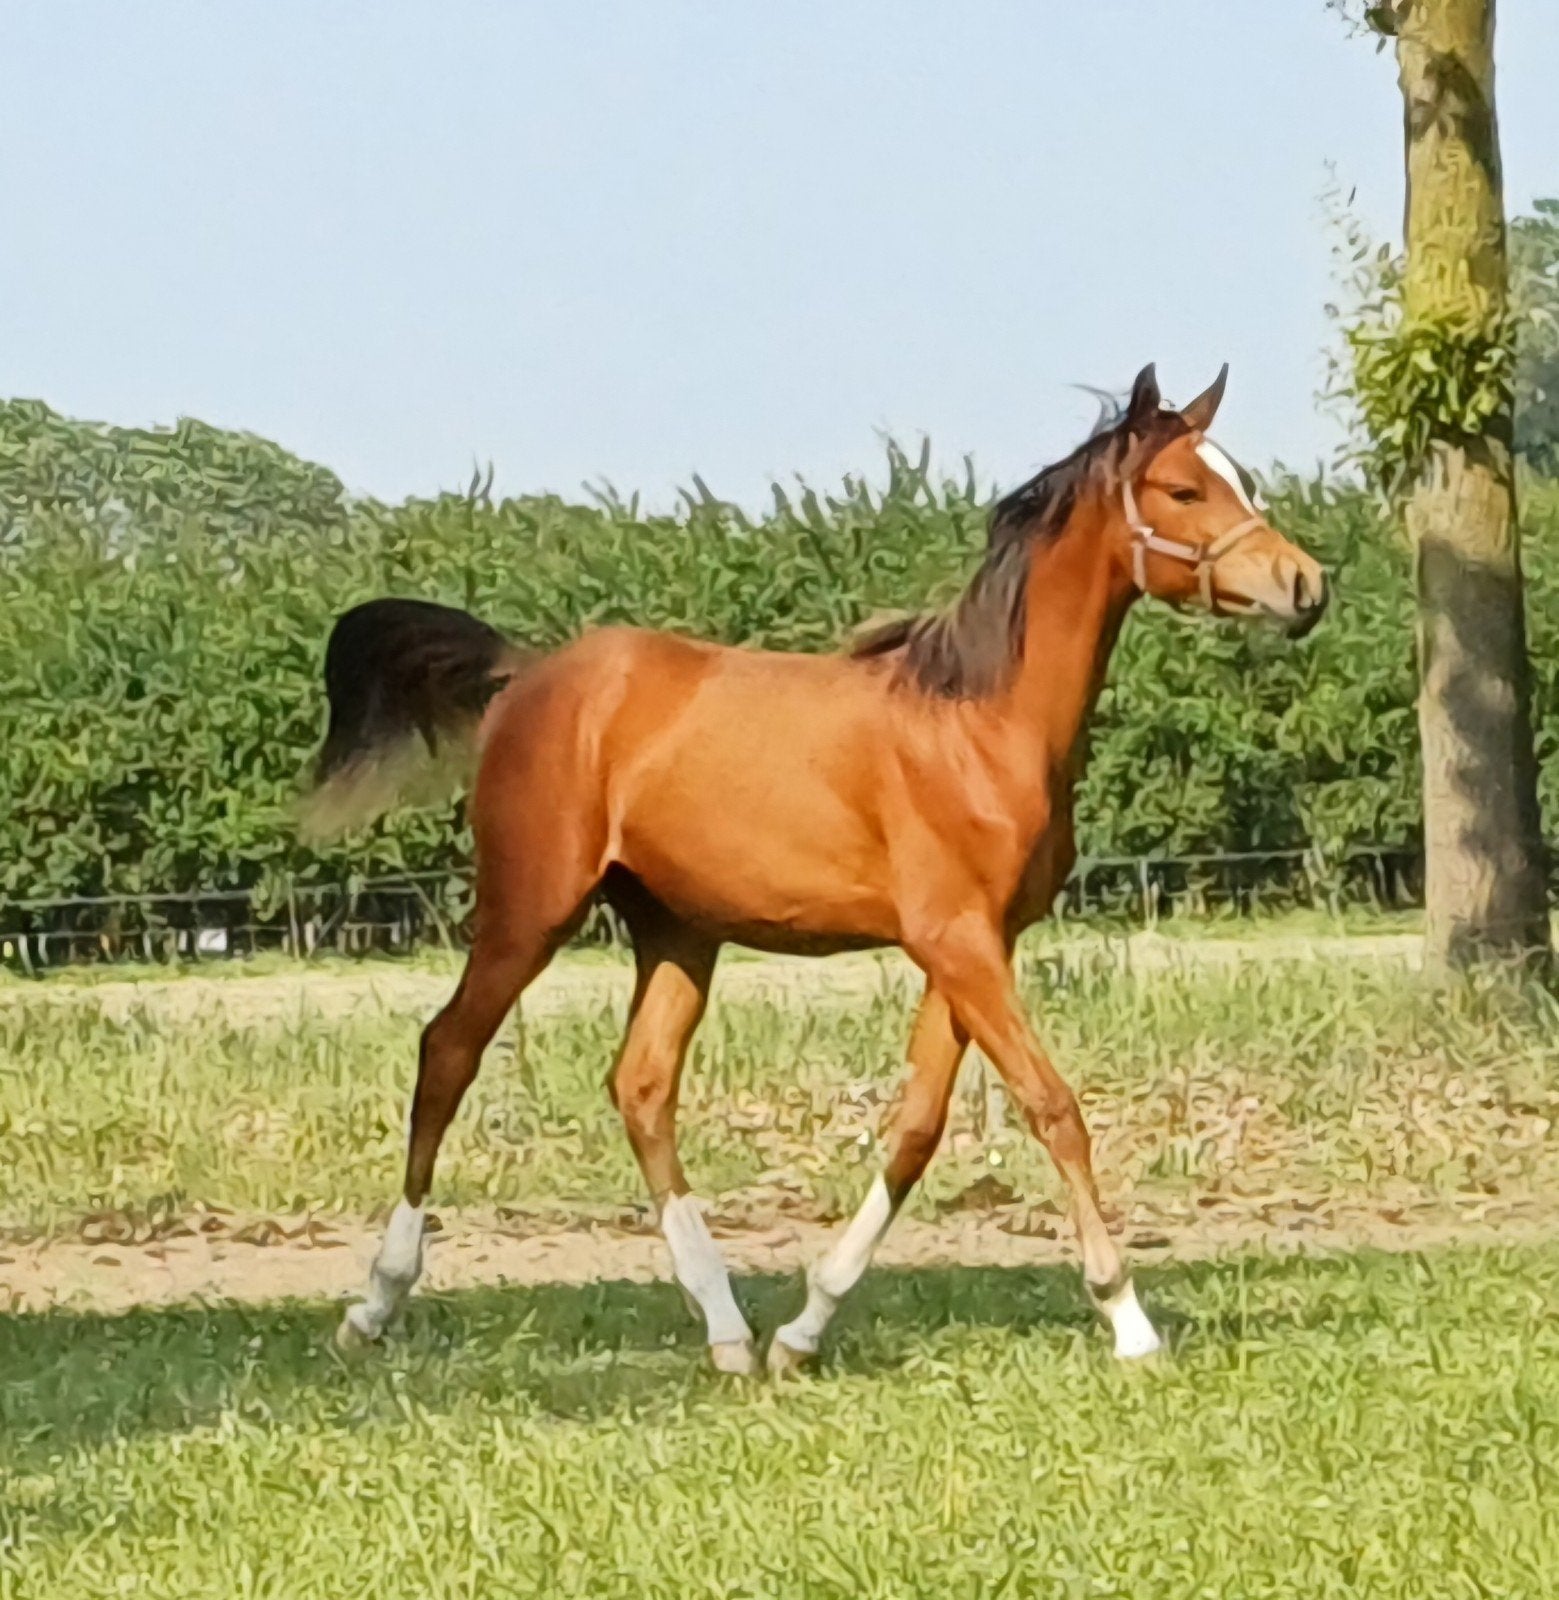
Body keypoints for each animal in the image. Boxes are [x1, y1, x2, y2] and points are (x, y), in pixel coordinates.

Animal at [304, 363, 1327, 1374]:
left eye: (1241, 479)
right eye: (1183, 488)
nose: (1304, 585)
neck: (979, 724)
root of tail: (526, 674)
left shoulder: (973, 945)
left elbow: (916, 1126)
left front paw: (806, 1327)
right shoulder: (958, 941)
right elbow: (1051, 1106)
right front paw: (1129, 1321)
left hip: (677, 931)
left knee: (641, 1086)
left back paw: (729, 1333)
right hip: (531, 906)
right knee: (448, 1052)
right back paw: (374, 1304)